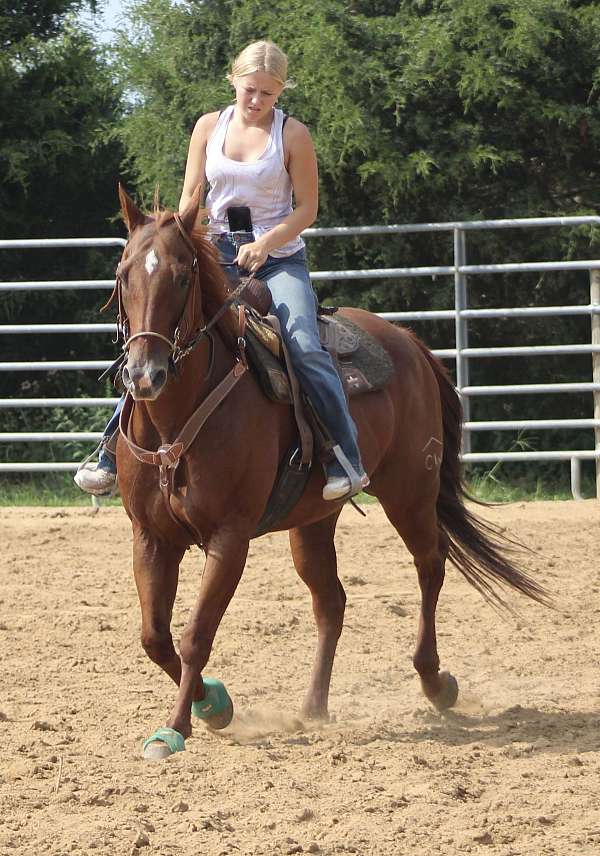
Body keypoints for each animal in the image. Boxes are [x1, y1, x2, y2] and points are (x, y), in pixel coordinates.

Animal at [109, 185, 549, 760]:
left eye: (183, 277)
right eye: (123, 275)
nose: (145, 374)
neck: (174, 422)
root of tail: (408, 341)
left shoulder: (230, 537)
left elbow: (194, 635)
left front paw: (176, 727)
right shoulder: (150, 535)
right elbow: (154, 637)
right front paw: (216, 705)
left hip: (410, 492)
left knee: (430, 566)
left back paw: (436, 682)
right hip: (313, 521)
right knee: (331, 602)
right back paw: (313, 706)